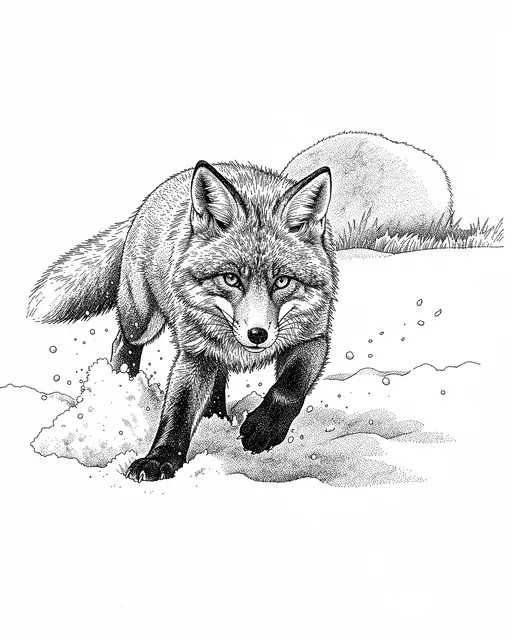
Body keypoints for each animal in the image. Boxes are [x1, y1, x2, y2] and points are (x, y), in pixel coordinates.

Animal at [28, 160, 337, 482]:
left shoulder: (313, 338)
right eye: (231, 279)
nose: (257, 334)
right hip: (142, 320)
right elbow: (178, 412)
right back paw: (122, 386)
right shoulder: (193, 353)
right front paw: (160, 458)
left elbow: (289, 388)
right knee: (122, 343)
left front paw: (263, 428)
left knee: (219, 376)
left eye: (282, 281)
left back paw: (216, 416)